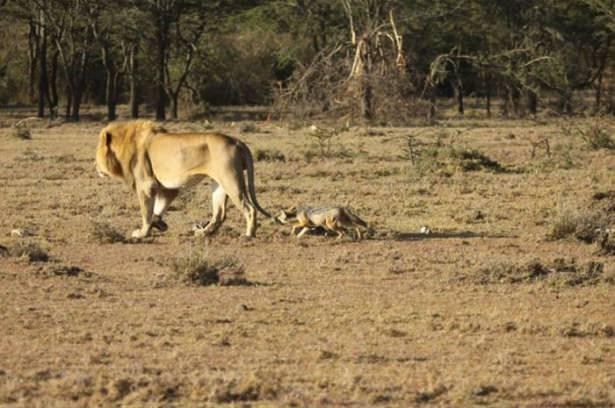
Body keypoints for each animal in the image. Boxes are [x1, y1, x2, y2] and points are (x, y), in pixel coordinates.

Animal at [95, 119, 274, 237]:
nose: (95, 166)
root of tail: (236, 141)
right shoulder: (168, 188)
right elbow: (159, 207)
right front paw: (158, 223)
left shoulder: (146, 185)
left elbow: (146, 211)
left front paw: (142, 233)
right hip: (219, 184)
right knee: (219, 214)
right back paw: (203, 232)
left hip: (231, 180)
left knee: (249, 208)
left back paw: (248, 235)